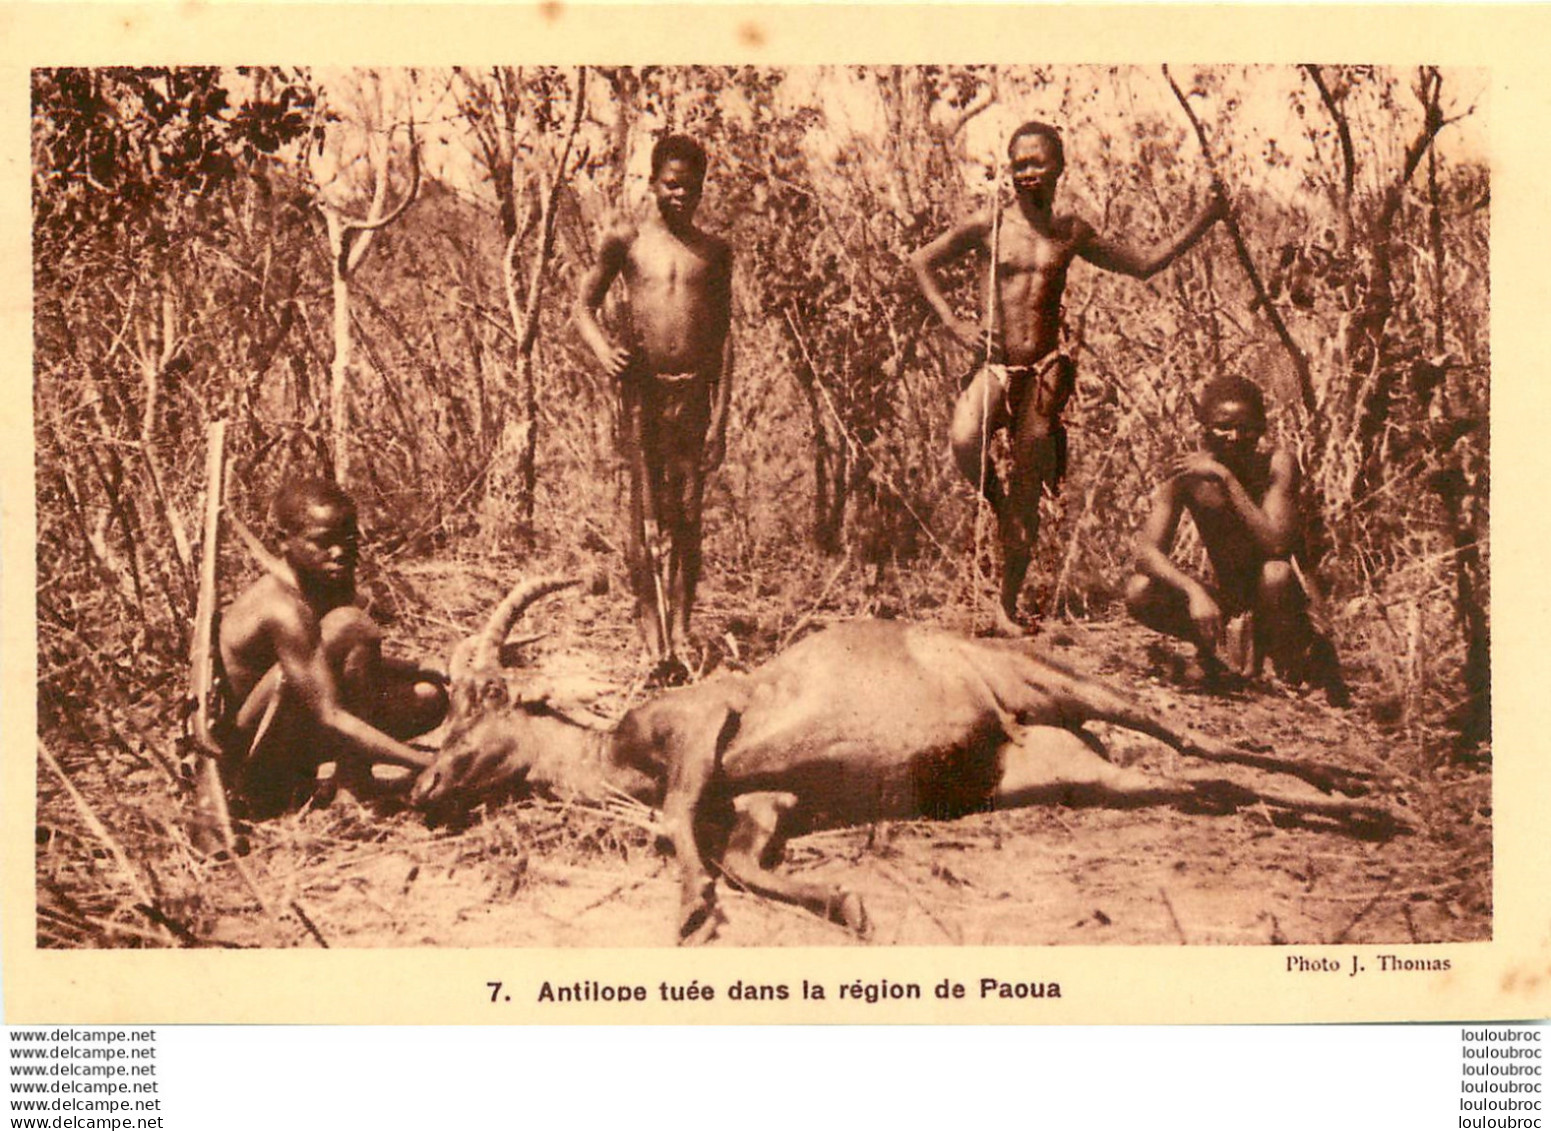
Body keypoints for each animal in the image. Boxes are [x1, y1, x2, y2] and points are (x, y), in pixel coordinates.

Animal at [412, 577, 1395, 937]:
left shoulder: (705, 719)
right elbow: (744, 856)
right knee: (1197, 778)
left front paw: (691, 907)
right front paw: (842, 902)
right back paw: (1358, 807)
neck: (620, 746)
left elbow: (678, 822)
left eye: (485, 699)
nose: (423, 784)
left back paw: (1370, 789)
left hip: (1063, 686)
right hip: (1084, 775)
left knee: (1197, 735)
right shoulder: (769, 802)